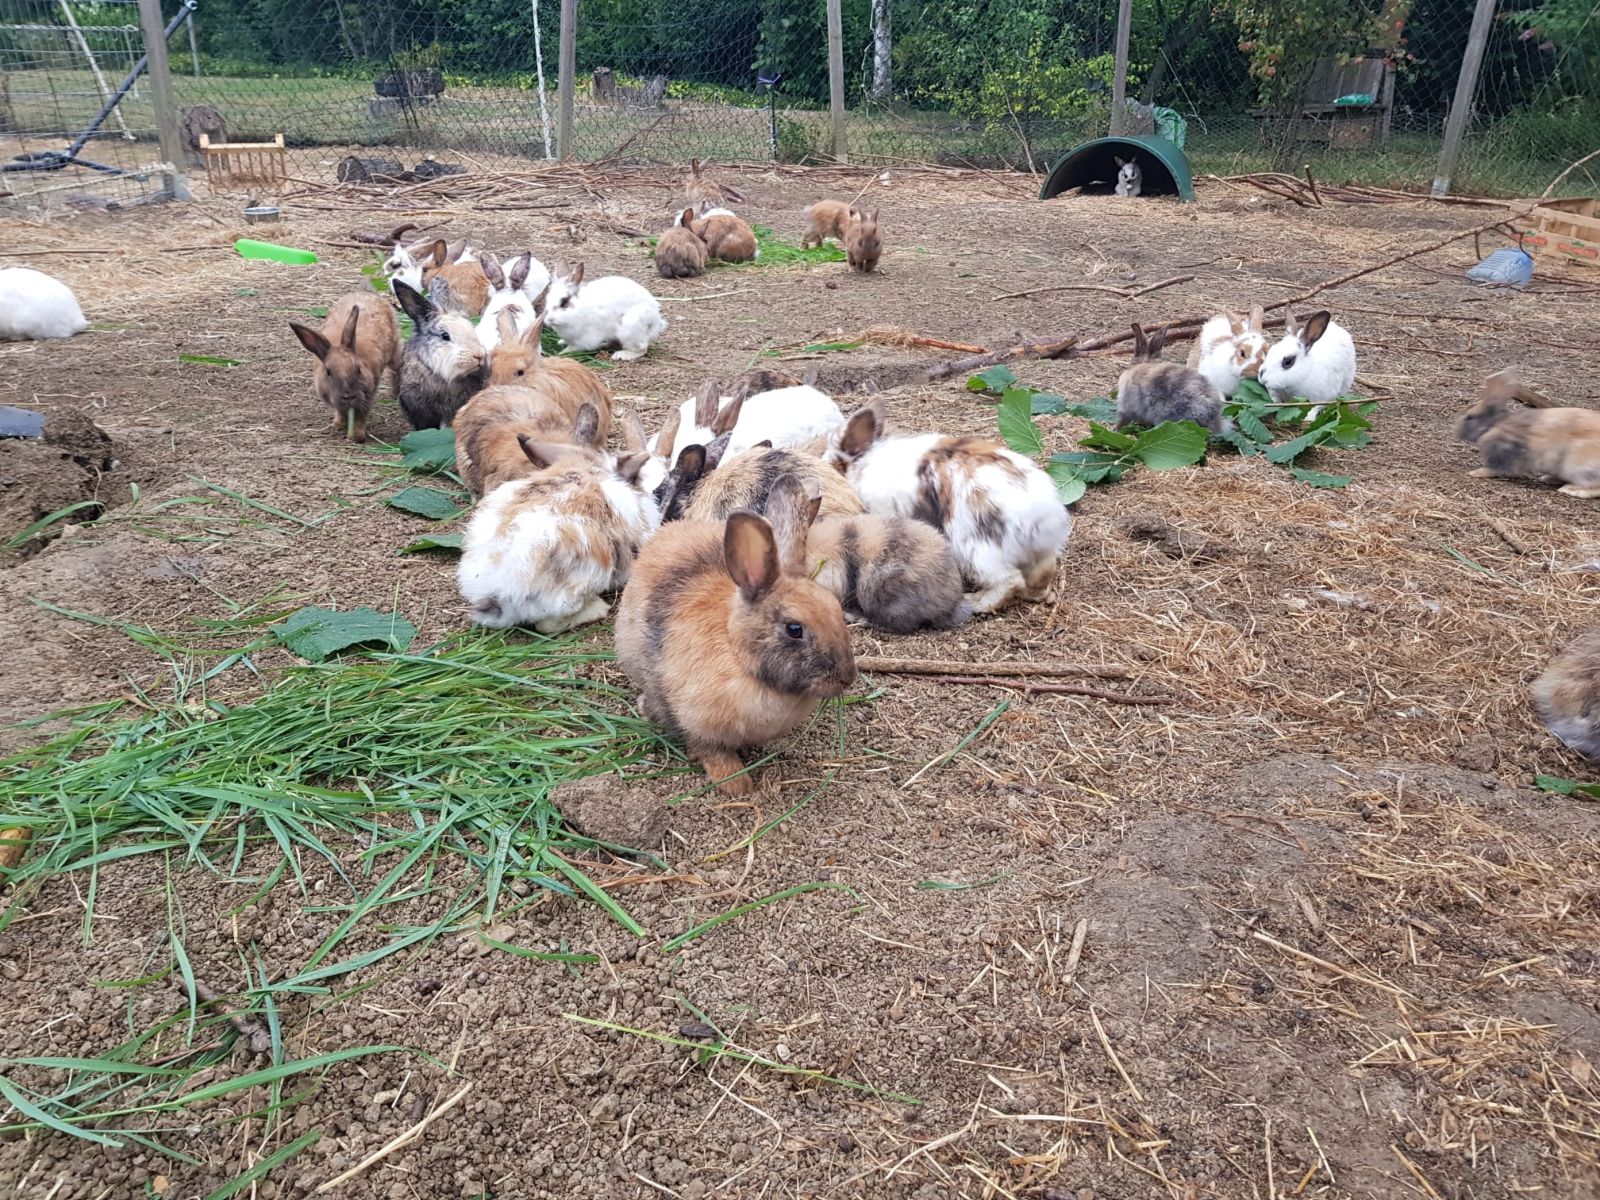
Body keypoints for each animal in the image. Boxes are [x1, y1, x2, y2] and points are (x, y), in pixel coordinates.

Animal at [288, 291, 400, 443]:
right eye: (328, 372)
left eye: (358, 370)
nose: (348, 396)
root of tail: (366, 293)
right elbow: (340, 412)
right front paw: (338, 426)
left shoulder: (368, 394)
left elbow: (361, 415)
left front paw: (357, 436)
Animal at [615, 472, 856, 795]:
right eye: (794, 629)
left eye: (835, 607)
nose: (846, 678)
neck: (739, 654)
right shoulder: (694, 721)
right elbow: (708, 749)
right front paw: (736, 784)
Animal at [824, 399, 1072, 615]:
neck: (861, 464)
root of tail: (1044, 517)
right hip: (1037, 557)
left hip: (974, 549)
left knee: (1009, 581)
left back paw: (976, 603)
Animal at [1457, 368, 1600, 498]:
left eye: (1469, 417)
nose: (1457, 431)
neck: (1495, 424)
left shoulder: (1502, 453)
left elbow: (1492, 469)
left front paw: (1475, 473)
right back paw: (1548, 478)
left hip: (1577, 466)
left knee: (1594, 486)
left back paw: (1571, 490)